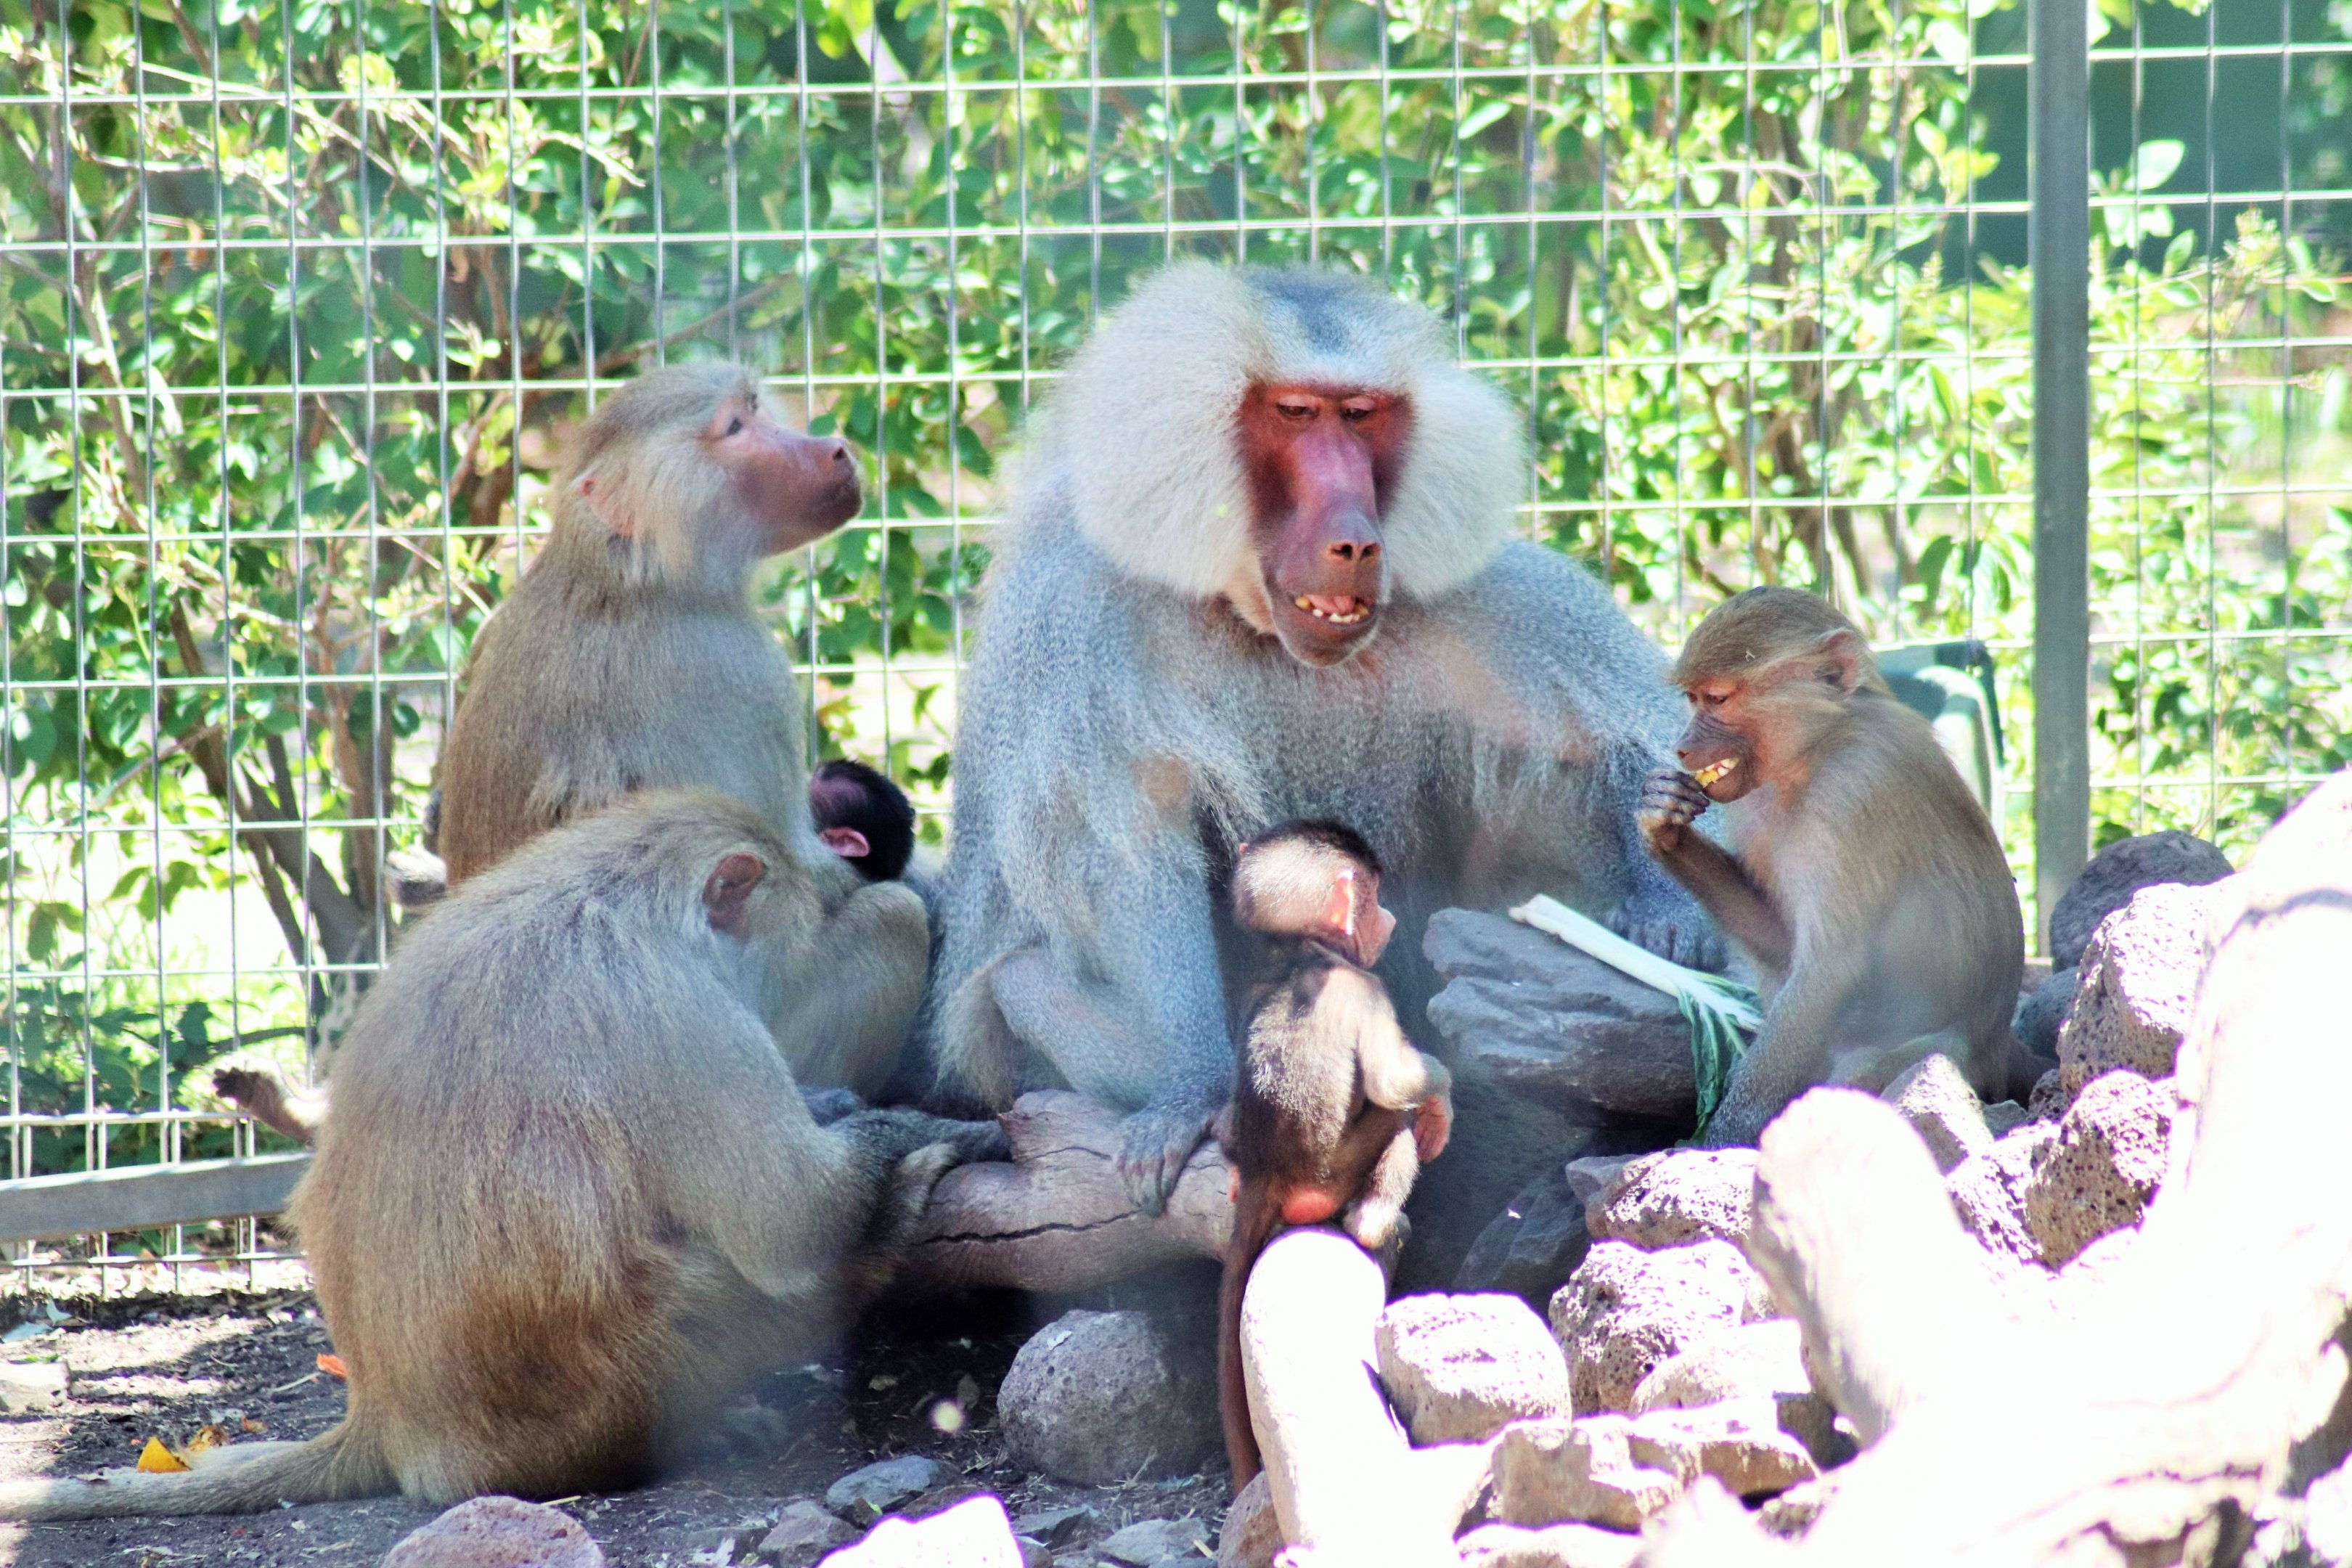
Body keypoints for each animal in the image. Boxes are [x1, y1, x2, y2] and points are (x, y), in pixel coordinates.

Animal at [0, 792, 1007, 1521]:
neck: (622, 891)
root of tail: (386, 1416)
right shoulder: (680, 1014)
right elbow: (792, 1221)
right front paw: (927, 1138)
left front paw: (843, 1107)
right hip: (633, 1378)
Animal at [927, 262, 1716, 1232]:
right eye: (1297, 414)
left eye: (1364, 416)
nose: (1356, 542)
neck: (1251, 621)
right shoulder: (1077, 619)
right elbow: (1125, 850)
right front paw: (1194, 1092)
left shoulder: (1473, 594)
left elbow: (1603, 736)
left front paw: (1666, 900)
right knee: (1025, 980)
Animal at [1214, 821, 1452, 1489]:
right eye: (1371, 899)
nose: (1389, 920)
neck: (1300, 951)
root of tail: (1269, 1172)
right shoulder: (1365, 988)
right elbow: (1395, 1083)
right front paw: (1440, 1095)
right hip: (1330, 1175)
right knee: (1394, 1122)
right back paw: (1373, 1221)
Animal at [1636, 585, 2024, 1148]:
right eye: (1693, 698)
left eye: (1719, 699)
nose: (1684, 747)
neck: (1815, 749)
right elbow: (1784, 947)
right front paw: (1664, 823)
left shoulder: (1852, 793)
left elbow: (1829, 967)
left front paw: (1715, 1145)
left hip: (1950, 1061)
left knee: (1864, 1070)